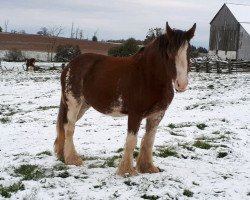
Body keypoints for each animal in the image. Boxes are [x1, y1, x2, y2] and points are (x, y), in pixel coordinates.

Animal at [54, 21, 195, 176]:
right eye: (169, 53)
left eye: (188, 51)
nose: (182, 84)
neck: (148, 76)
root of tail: (69, 65)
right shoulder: (135, 114)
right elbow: (132, 140)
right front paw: (127, 171)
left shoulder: (157, 115)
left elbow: (149, 140)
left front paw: (148, 168)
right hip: (74, 103)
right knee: (69, 127)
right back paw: (73, 159)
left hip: (83, 105)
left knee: (65, 125)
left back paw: (62, 155)